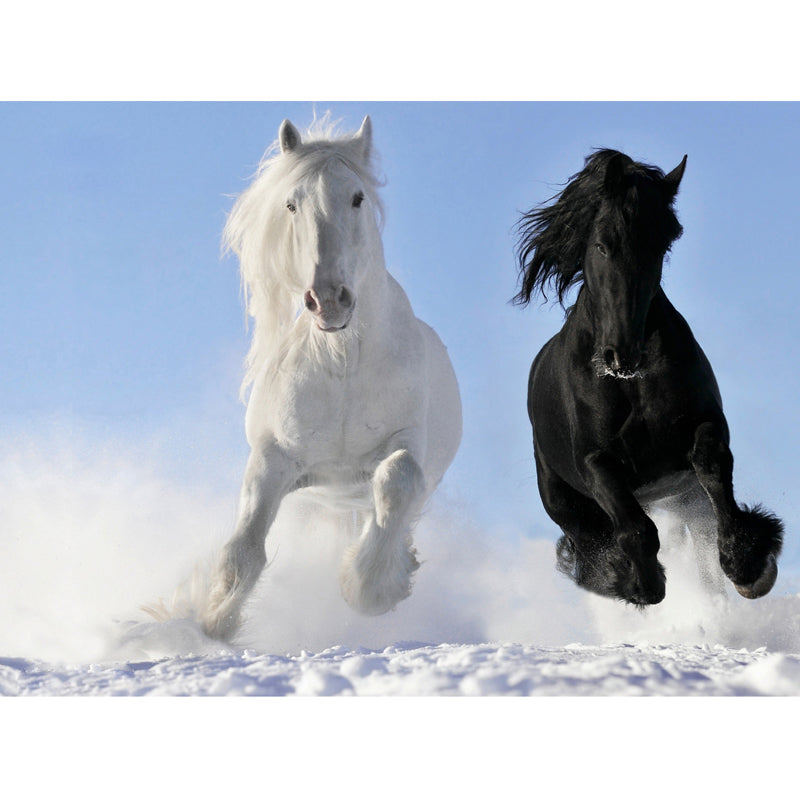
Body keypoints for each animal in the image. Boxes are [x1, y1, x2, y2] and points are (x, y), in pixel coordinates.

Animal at [199, 116, 462, 642]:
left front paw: (368, 589)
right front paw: (212, 622)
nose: (328, 300)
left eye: (357, 197)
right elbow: (243, 550)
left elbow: (398, 479)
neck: (342, 363)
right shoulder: (273, 458)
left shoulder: (408, 442)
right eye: (291, 203)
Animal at [514, 149, 783, 608]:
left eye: (661, 245)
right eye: (602, 244)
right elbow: (636, 529)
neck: (630, 384)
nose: (621, 354)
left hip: (685, 498)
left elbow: (713, 467)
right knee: (591, 542)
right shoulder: (596, 462)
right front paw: (639, 582)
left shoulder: (704, 426)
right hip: (566, 503)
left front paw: (749, 564)